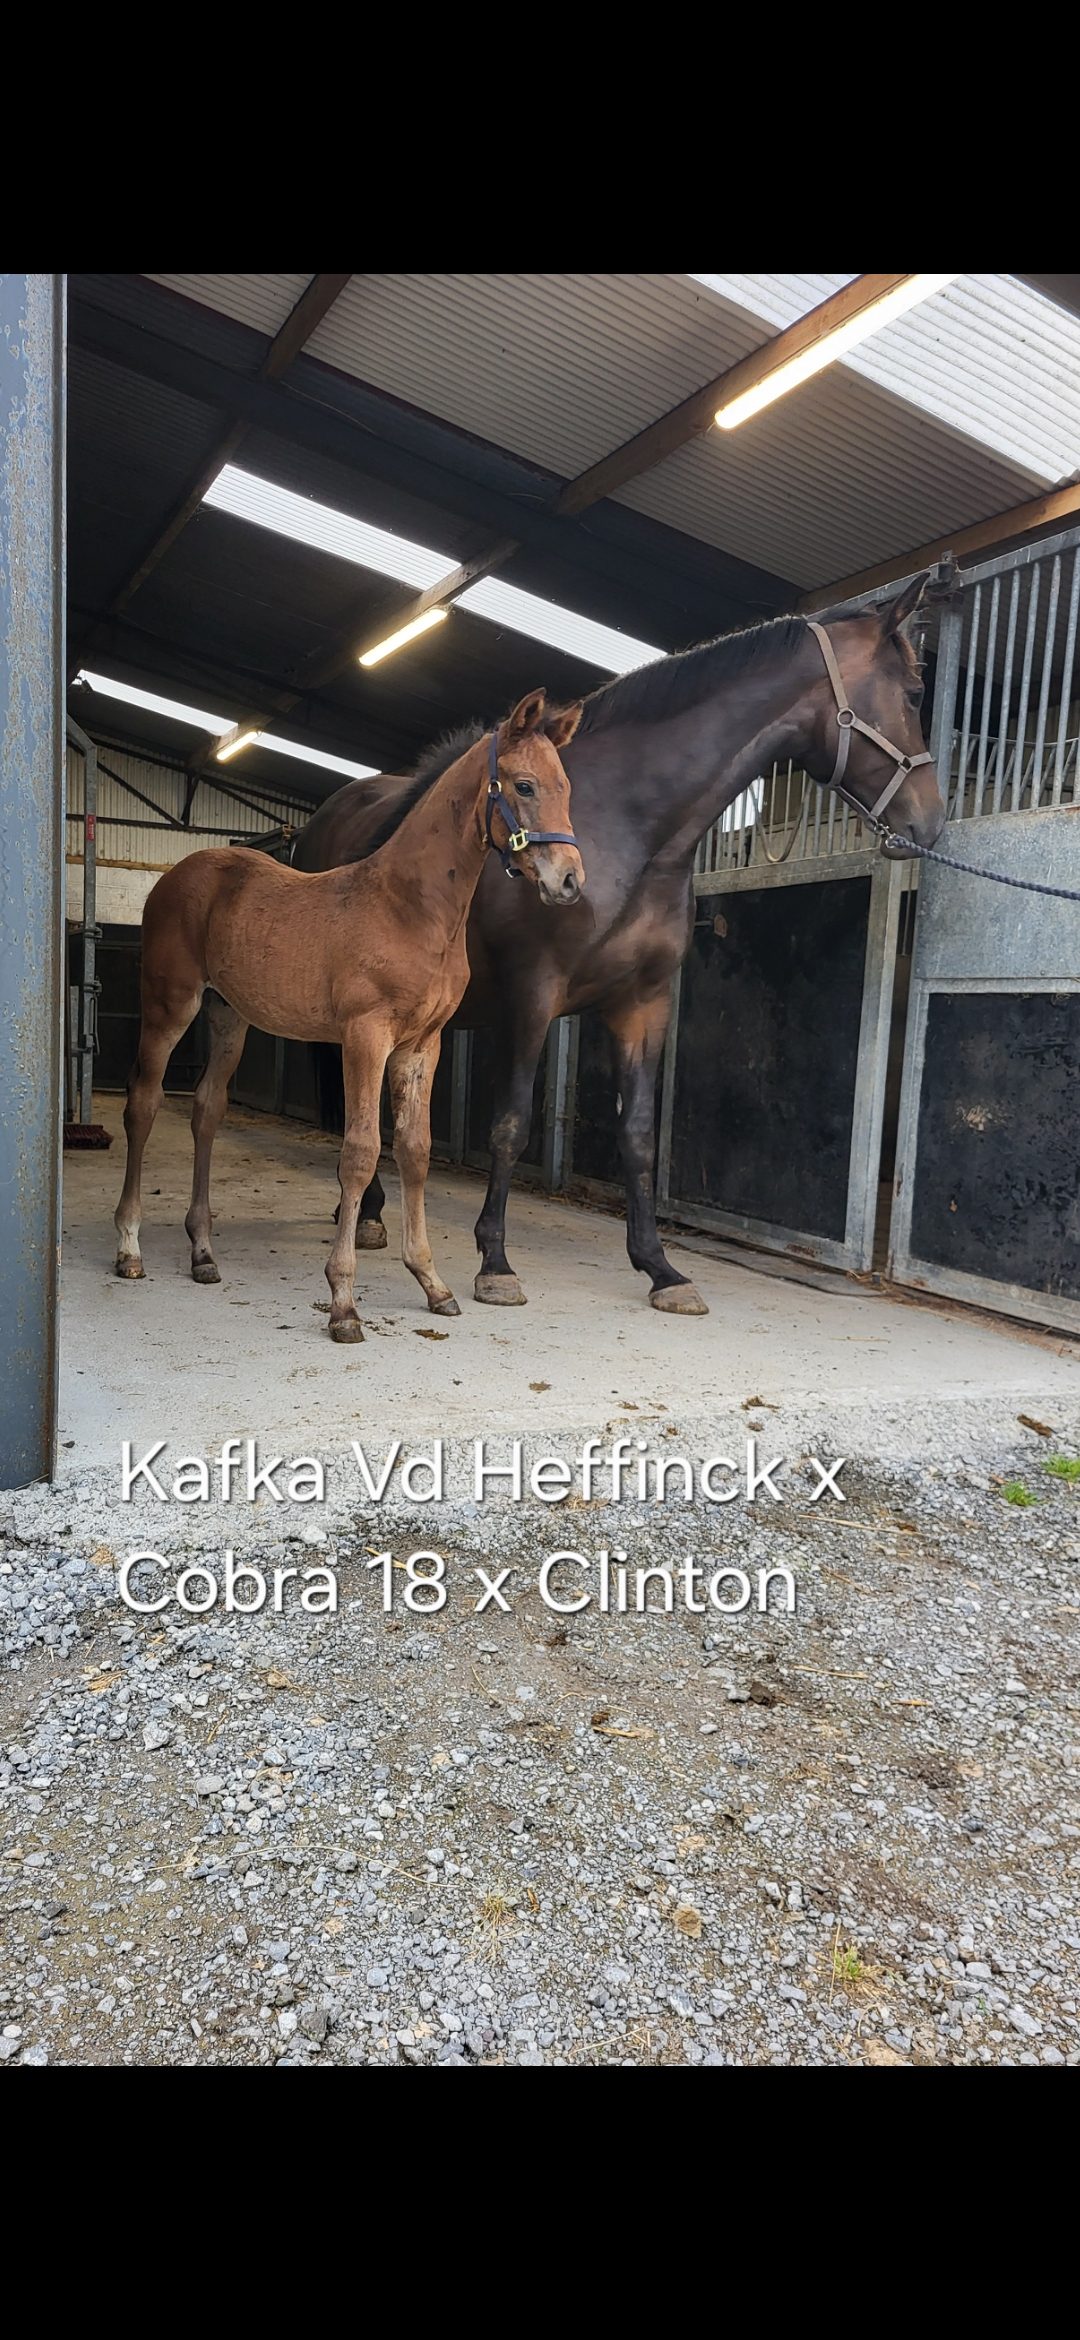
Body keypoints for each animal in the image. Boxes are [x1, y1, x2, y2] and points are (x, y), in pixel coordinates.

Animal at [113, 690, 583, 1340]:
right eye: (524, 785)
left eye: (565, 785)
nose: (570, 881)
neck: (410, 908)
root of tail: (176, 874)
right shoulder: (366, 1035)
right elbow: (360, 1153)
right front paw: (342, 1303)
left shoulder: (422, 1043)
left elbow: (415, 1149)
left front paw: (433, 1284)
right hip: (170, 1004)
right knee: (144, 1102)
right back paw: (129, 1247)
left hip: (228, 1016)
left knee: (207, 1109)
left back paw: (203, 1252)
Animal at [294, 573, 946, 1315]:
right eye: (916, 692)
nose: (930, 822)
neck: (627, 830)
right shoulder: (531, 995)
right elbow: (510, 1123)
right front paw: (496, 1262)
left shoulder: (644, 1002)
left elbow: (637, 1136)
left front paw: (660, 1268)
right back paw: (371, 1213)